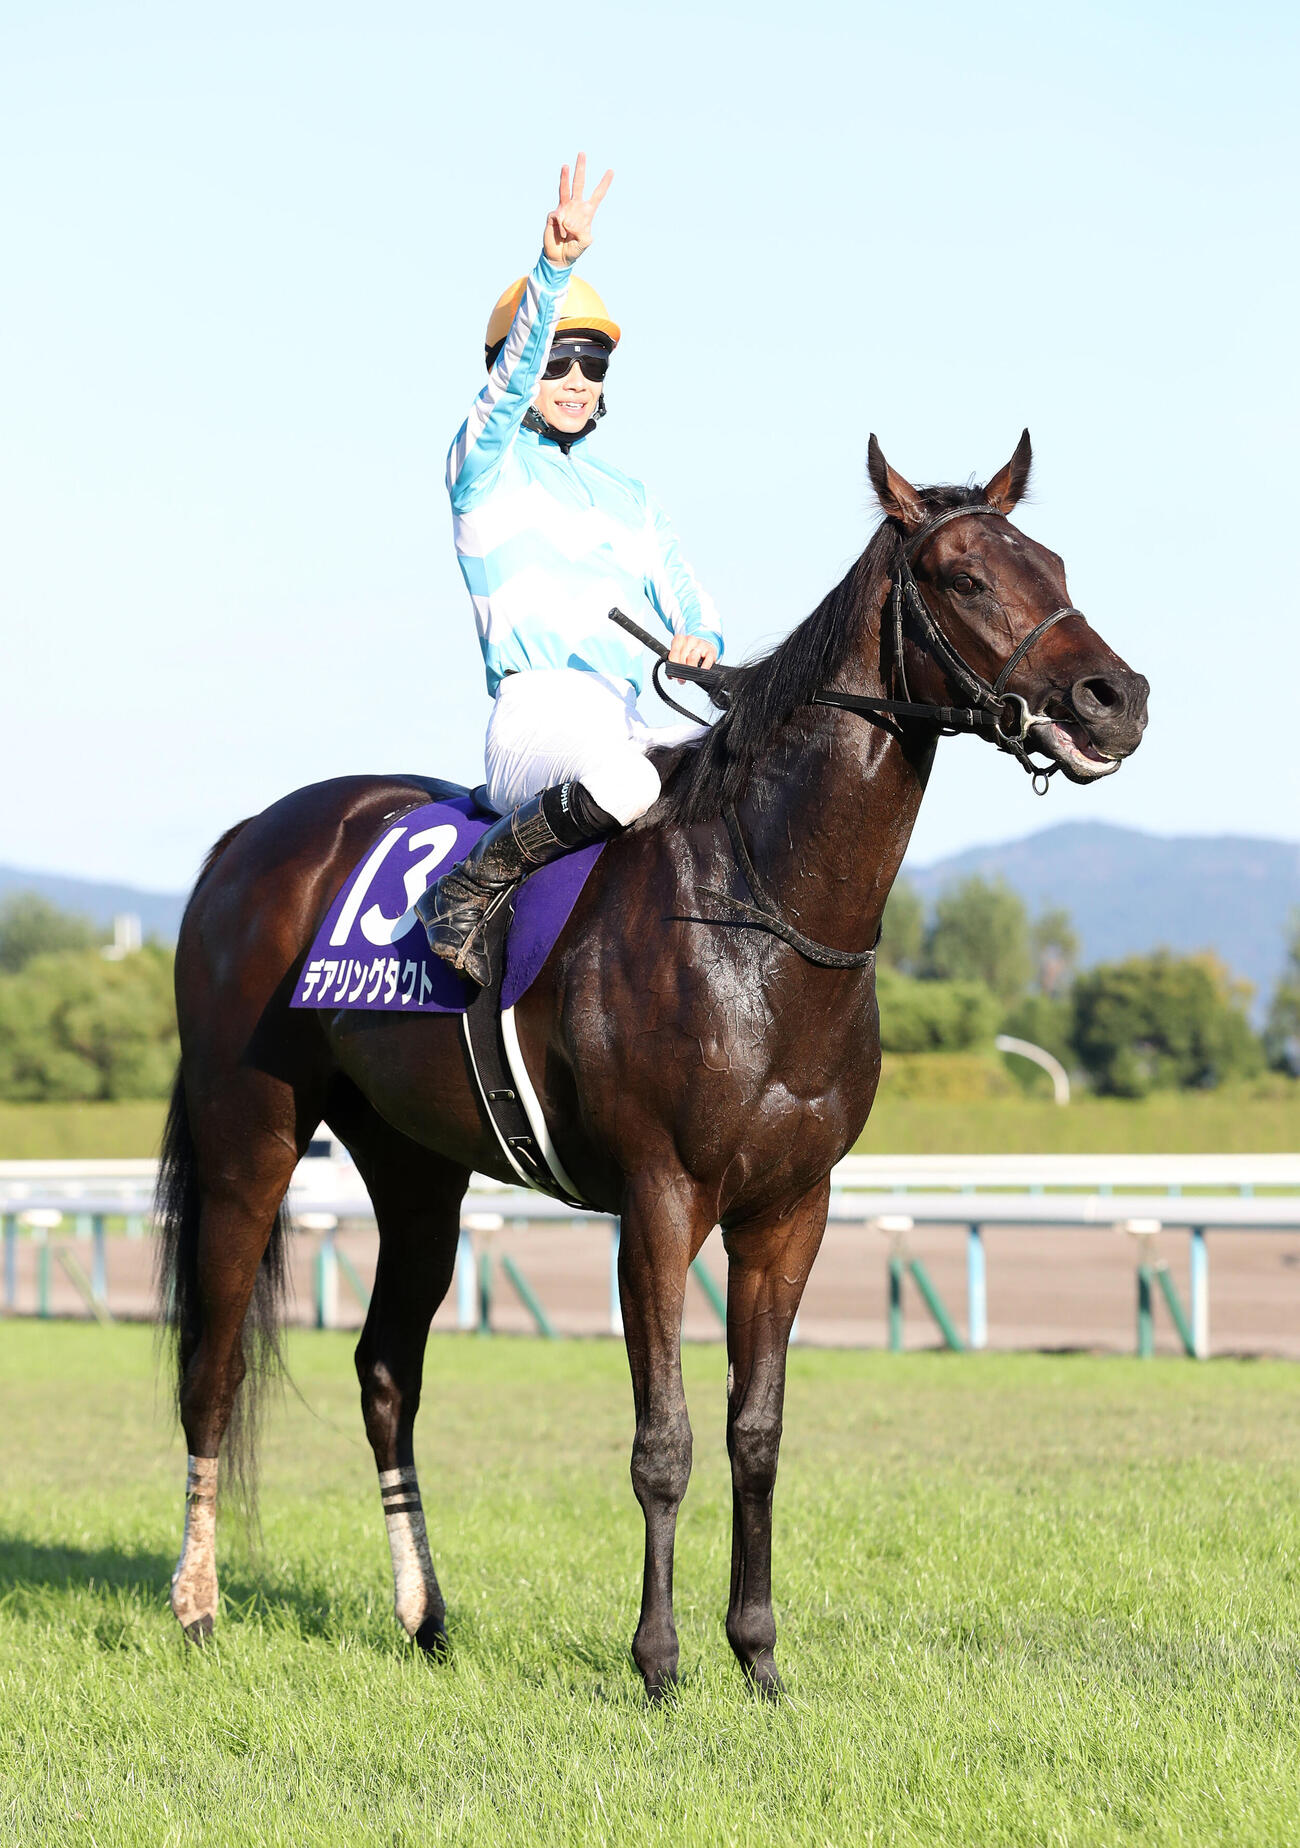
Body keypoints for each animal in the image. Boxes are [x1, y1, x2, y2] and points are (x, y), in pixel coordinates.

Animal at [156, 431, 1148, 1698]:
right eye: (965, 575)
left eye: (1054, 562)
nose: (1116, 699)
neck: (761, 907)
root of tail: (251, 837)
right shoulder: (661, 1197)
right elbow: (664, 1441)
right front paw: (661, 1662)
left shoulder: (790, 1208)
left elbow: (755, 1435)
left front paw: (758, 1655)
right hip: (250, 1132)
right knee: (212, 1365)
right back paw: (196, 1604)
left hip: (417, 1167)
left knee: (386, 1371)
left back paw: (425, 1616)